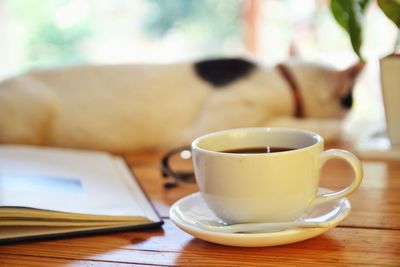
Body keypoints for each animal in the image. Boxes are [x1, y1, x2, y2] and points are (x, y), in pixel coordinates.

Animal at [0, 57, 362, 152]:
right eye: (350, 100)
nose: (352, 108)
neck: (284, 80)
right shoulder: (221, 116)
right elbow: (285, 120)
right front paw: (340, 127)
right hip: (35, 105)